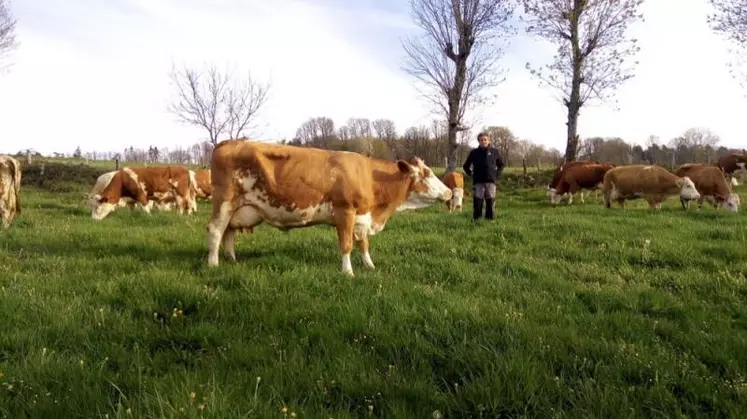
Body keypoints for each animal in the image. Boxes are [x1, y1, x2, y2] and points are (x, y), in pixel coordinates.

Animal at [205, 139, 452, 276]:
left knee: (229, 232)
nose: (449, 192)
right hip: (224, 201)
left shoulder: (362, 217)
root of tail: (228, 142)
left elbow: (364, 244)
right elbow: (347, 245)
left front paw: (370, 266)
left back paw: (231, 259)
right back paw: (213, 264)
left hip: (238, 208)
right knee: (216, 230)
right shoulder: (345, 212)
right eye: (427, 174)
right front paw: (348, 272)